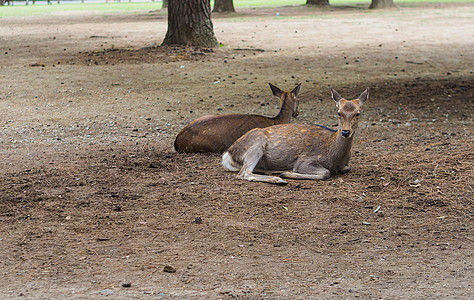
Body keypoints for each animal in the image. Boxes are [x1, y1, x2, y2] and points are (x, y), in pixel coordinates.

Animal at [222, 88, 370, 184]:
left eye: (358, 113)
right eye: (339, 112)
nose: (345, 132)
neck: (336, 156)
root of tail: (228, 154)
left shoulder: (345, 165)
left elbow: (347, 167)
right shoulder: (305, 160)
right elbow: (325, 172)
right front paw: (290, 173)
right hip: (256, 145)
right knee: (244, 172)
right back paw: (278, 179)